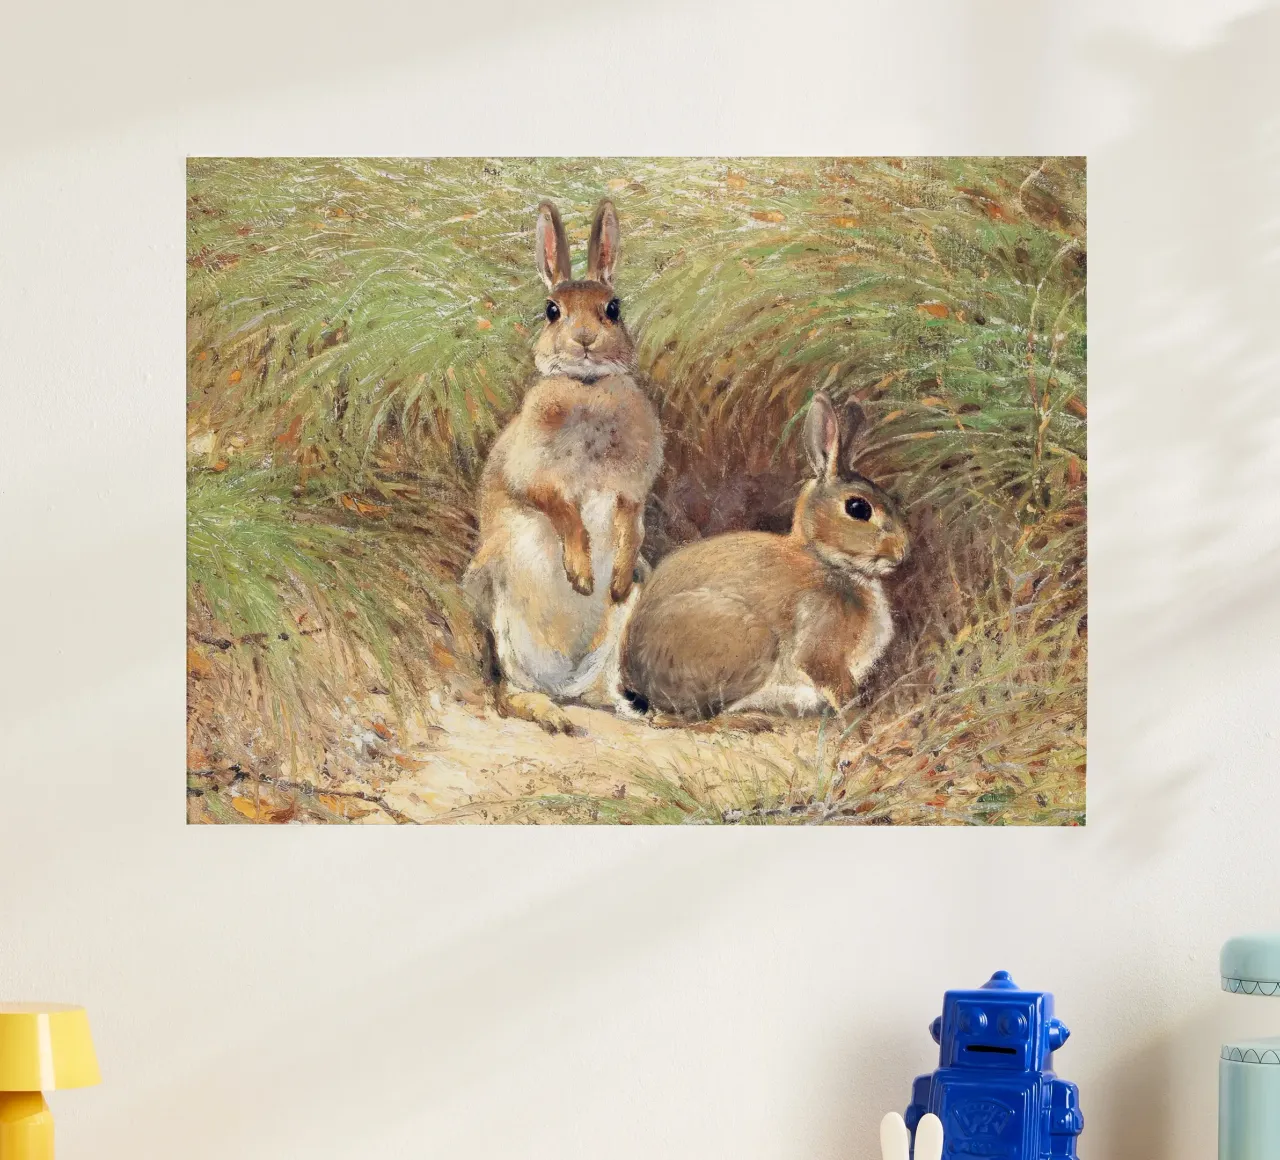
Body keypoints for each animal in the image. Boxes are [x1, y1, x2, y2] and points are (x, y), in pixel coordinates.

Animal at [464, 199, 663, 735]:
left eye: (614, 308)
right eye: (552, 310)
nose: (586, 339)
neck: (587, 387)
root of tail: (564, 681)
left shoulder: (632, 489)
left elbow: (631, 522)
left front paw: (611, 579)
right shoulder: (533, 476)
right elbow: (561, 510)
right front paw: (581, 575)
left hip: (620, 624)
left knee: (600, 687)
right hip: (496, 603)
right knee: (507, 691)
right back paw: (550, 714)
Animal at [620, 391, 908, 723]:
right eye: (858, 508)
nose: (902, 552)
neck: (826, 560)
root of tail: (635, 678)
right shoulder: (821, 647)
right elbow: (837, 686)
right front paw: (857, 718)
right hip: (753, 642)